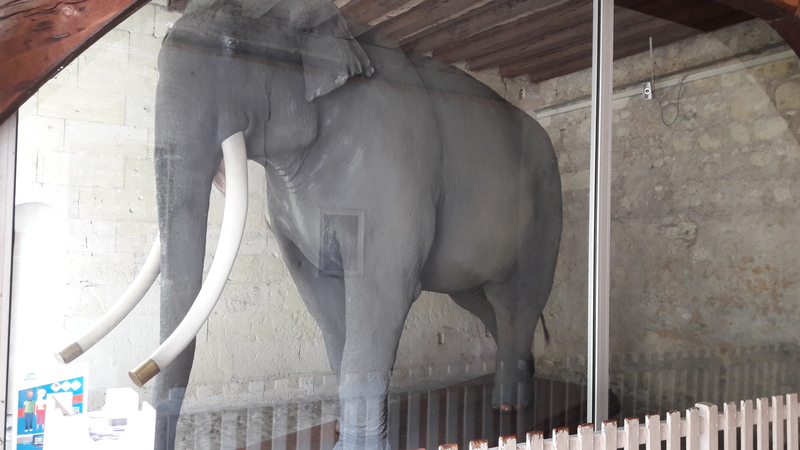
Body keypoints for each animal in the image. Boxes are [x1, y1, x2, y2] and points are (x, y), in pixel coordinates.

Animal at [57, 0, 562, 448]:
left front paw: (355, 445)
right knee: (480, 302)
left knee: (516, 300)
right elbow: (321, 299)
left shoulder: (394, 173)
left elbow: (384, 290)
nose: (135, 373)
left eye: (231, 44)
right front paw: (342, 429)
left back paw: (511, 406)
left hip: (546, 202)